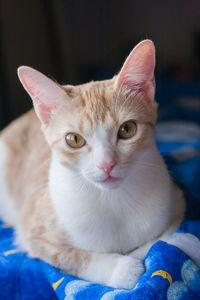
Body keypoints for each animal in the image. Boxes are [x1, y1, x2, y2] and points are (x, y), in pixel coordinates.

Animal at [0, 39, 186, 288]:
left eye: (127, 129)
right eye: (74, 139)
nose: (106, 164)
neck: (112, 200)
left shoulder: (177, 203)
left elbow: (158, 242)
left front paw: (135, 255)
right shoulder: (35, 234)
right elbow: (70, 256)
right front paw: (121, 269)